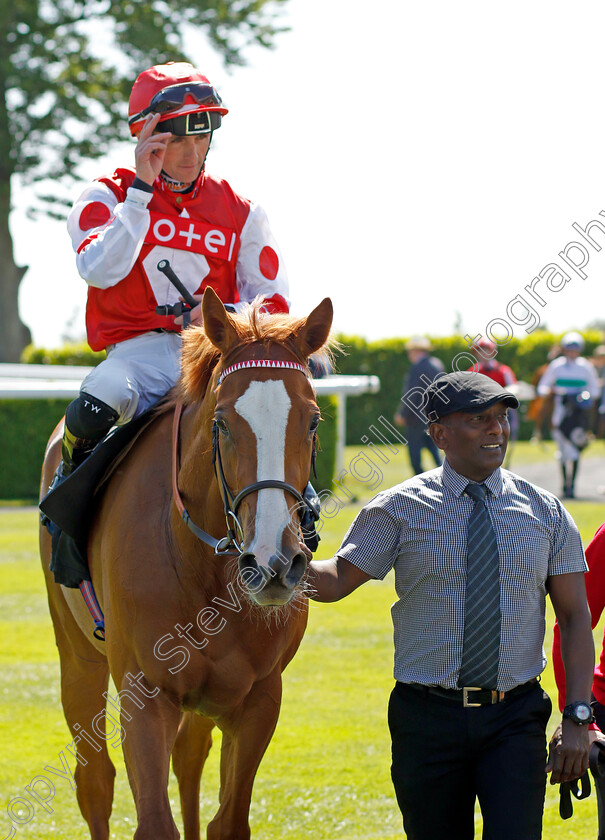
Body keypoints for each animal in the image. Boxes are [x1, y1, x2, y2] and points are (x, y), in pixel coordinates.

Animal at [40, 290, 332, 840]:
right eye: (222, 421)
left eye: (312, 420)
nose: (274, 561)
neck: (203, 568)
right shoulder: (145, 693)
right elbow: (153, 819)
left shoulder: (258, 697)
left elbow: (228, 819)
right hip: (78, 655)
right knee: (95, 783)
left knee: (189, 758)